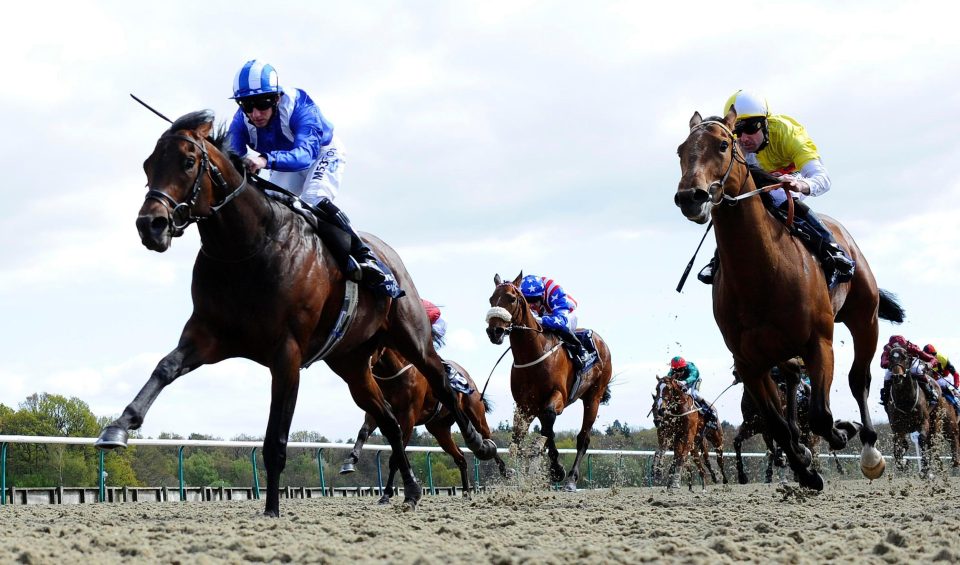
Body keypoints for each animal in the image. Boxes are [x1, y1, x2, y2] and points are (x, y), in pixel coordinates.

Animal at [340, 348, 510, 502]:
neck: (393, 372)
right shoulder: (376, 410)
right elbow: (363, 432)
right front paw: (350, 461)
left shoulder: (408, 417)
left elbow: (396, 457)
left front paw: (387, 494)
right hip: (439, 430)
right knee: (460, 457)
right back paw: (466, 494)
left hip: (475, 414)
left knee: (487, 436)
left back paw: (503, 470)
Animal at [484, 274, 612, 490]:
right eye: (491, 299)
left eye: (511, 298)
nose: (495, 331)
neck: (533, 355)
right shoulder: (525, 406)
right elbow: (520, 439)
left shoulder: (558, 396)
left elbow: (548, 422)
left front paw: (556, 469)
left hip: (593, 396)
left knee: (583, 438)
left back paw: (571, 479)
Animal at [676, 111, 908, 490]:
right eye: (681, 150)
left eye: (723, 145)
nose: (690, 197)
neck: (763, 274)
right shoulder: (748, 362)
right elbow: (777, 424)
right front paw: (805, 468)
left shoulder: (819, 342)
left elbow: (821, 415)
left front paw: (842, 432)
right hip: (781, 350)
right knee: (794, 380)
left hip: (865, 319)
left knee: (858, 378)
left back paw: (869, 451)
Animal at [888, 344, 948, 476]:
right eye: (890, 358)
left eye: (904, 357)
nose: (897, 376)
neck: (905, 400)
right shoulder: (898, 428)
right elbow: (897, 447)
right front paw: (904, 463)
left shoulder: (923, 422)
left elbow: (921, 440)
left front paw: (925, 469)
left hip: (935, 421)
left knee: (931, 443)